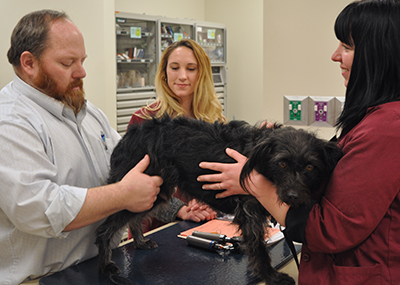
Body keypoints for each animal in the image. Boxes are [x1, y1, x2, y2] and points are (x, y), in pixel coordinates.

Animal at [95, 114, 342, 282]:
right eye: (281, 163)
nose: (293, 197)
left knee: (135, 219)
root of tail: (128, 136)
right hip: (140, 187)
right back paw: (105, 265)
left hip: (153, 191)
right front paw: (270, 276)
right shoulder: (249, 212)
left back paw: (139, 241)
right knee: (105, 228)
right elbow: (258, 248)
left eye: (310, 167)